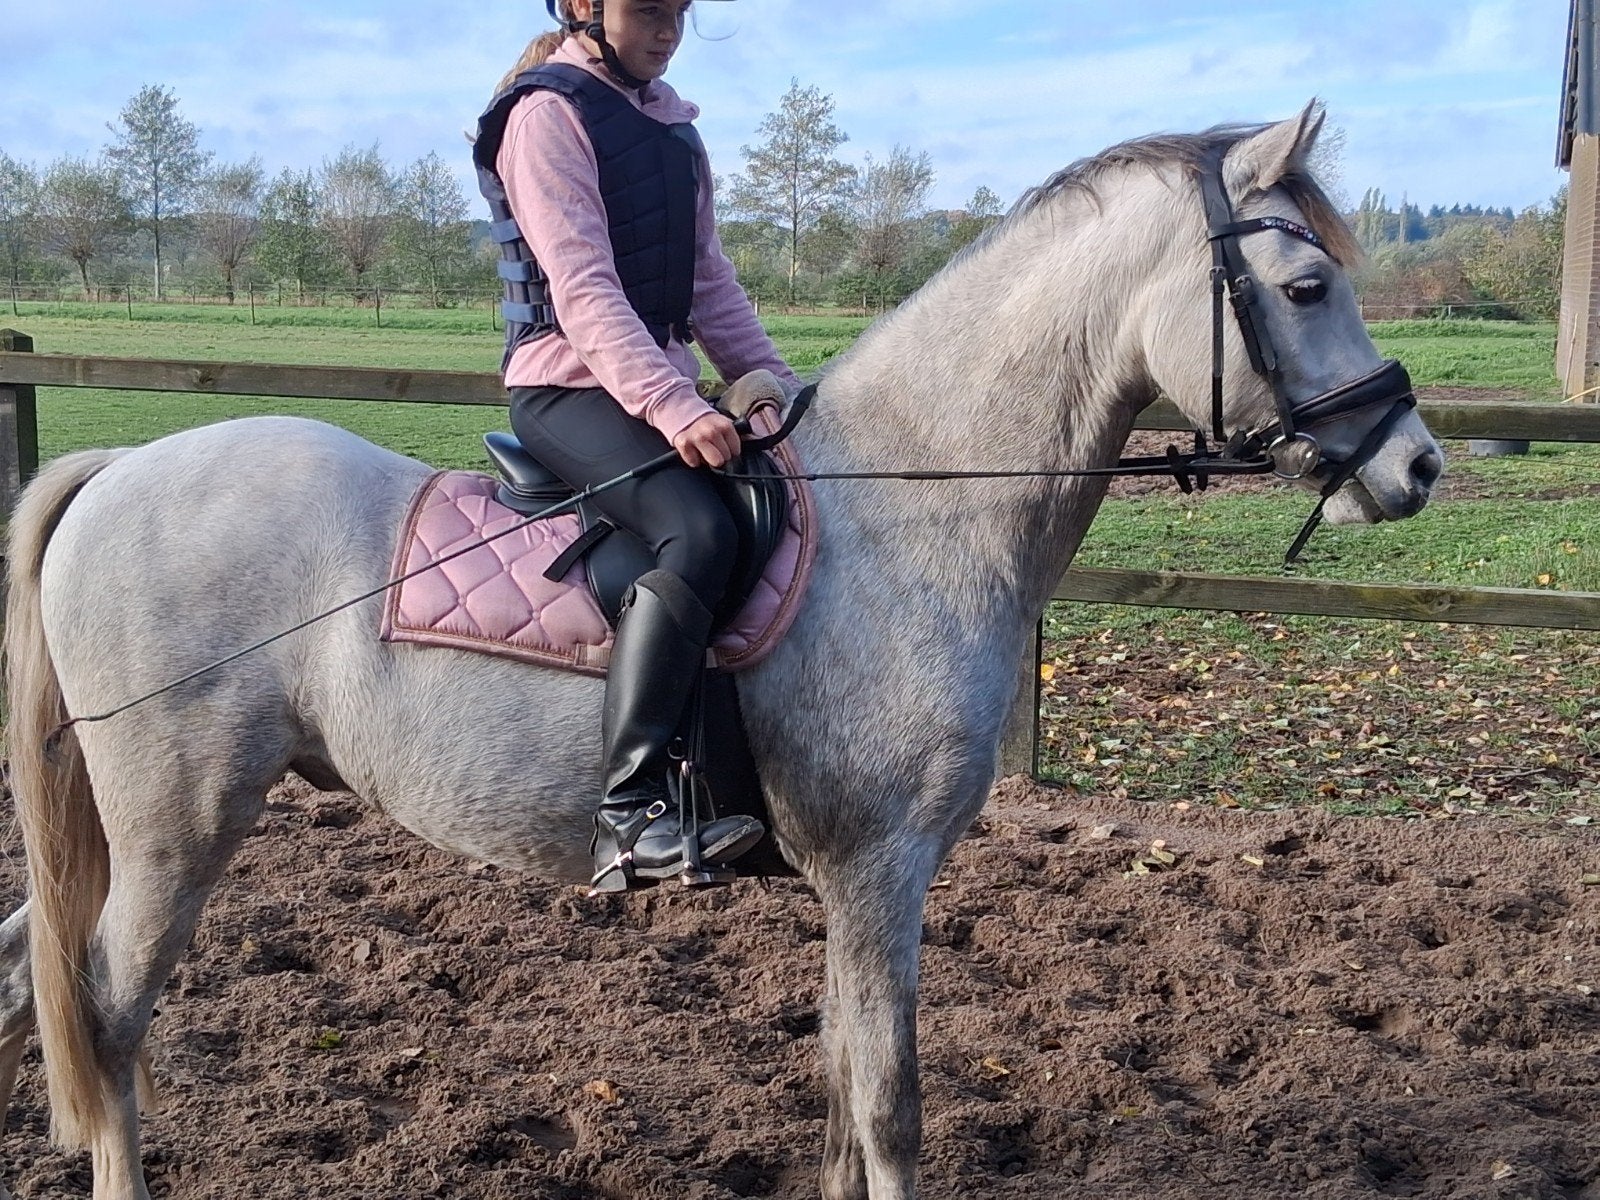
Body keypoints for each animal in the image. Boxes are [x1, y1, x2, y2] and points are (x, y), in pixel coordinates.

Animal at [1, 103, 1443, 1199]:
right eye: (1307, 286)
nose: (1416, 466)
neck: (908, 509)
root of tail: (119, 466)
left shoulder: (859, 884)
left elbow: (844, 1086)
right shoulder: (880, 868)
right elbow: (888, 1105)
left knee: (38, 974)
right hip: (177, 825)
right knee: (109, 1008)